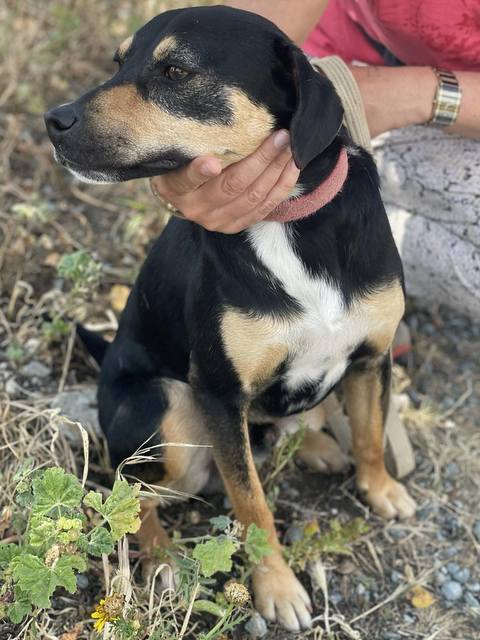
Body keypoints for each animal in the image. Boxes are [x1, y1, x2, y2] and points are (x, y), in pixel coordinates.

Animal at [45, 5, 416, 632]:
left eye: (175, 71)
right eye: (120, 62)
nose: (54, 119)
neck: (287, 218)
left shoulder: (370, 359)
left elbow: (369, 435)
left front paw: (380, 489)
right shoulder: (218, 393)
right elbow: (251, 503)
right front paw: (277, 588)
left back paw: (313, 444)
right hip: (169, 408)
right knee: (132, 495)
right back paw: (162, 561)